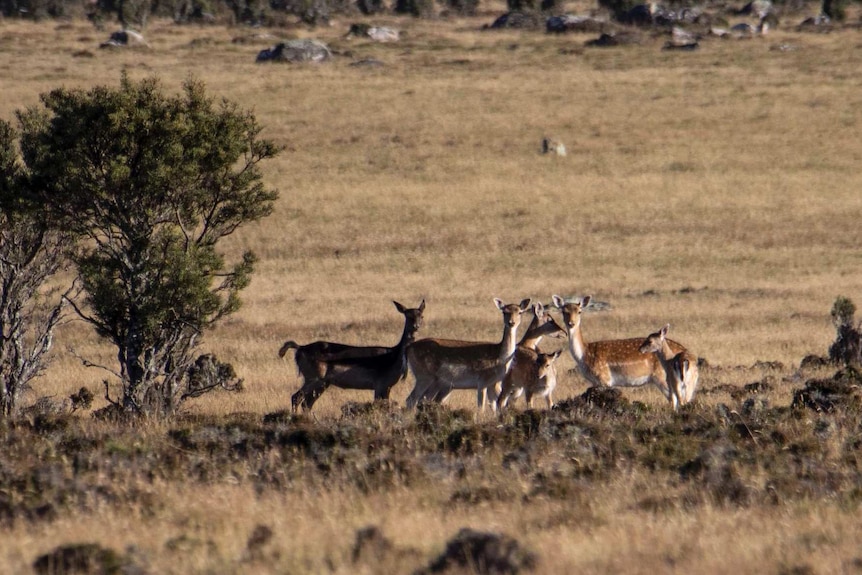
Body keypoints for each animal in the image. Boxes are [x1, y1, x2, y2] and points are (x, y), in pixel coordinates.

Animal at [288, 302, 426, 414]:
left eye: (421, 316)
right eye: (408, 315)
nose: (416, 326)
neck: (394, 357)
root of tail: (300, 348)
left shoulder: (387, 386)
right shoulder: (380, 384)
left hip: (322, 383)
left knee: (307, 404)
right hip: (313, 377)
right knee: (296, 397)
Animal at [556, 294, 692, 408]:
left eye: (579, 311)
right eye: (563, 311)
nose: (571, 323)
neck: (584, 355)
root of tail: (685, 352)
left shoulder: (604, 378)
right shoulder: (594, 381)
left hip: (663, 377)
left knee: (674, 399)